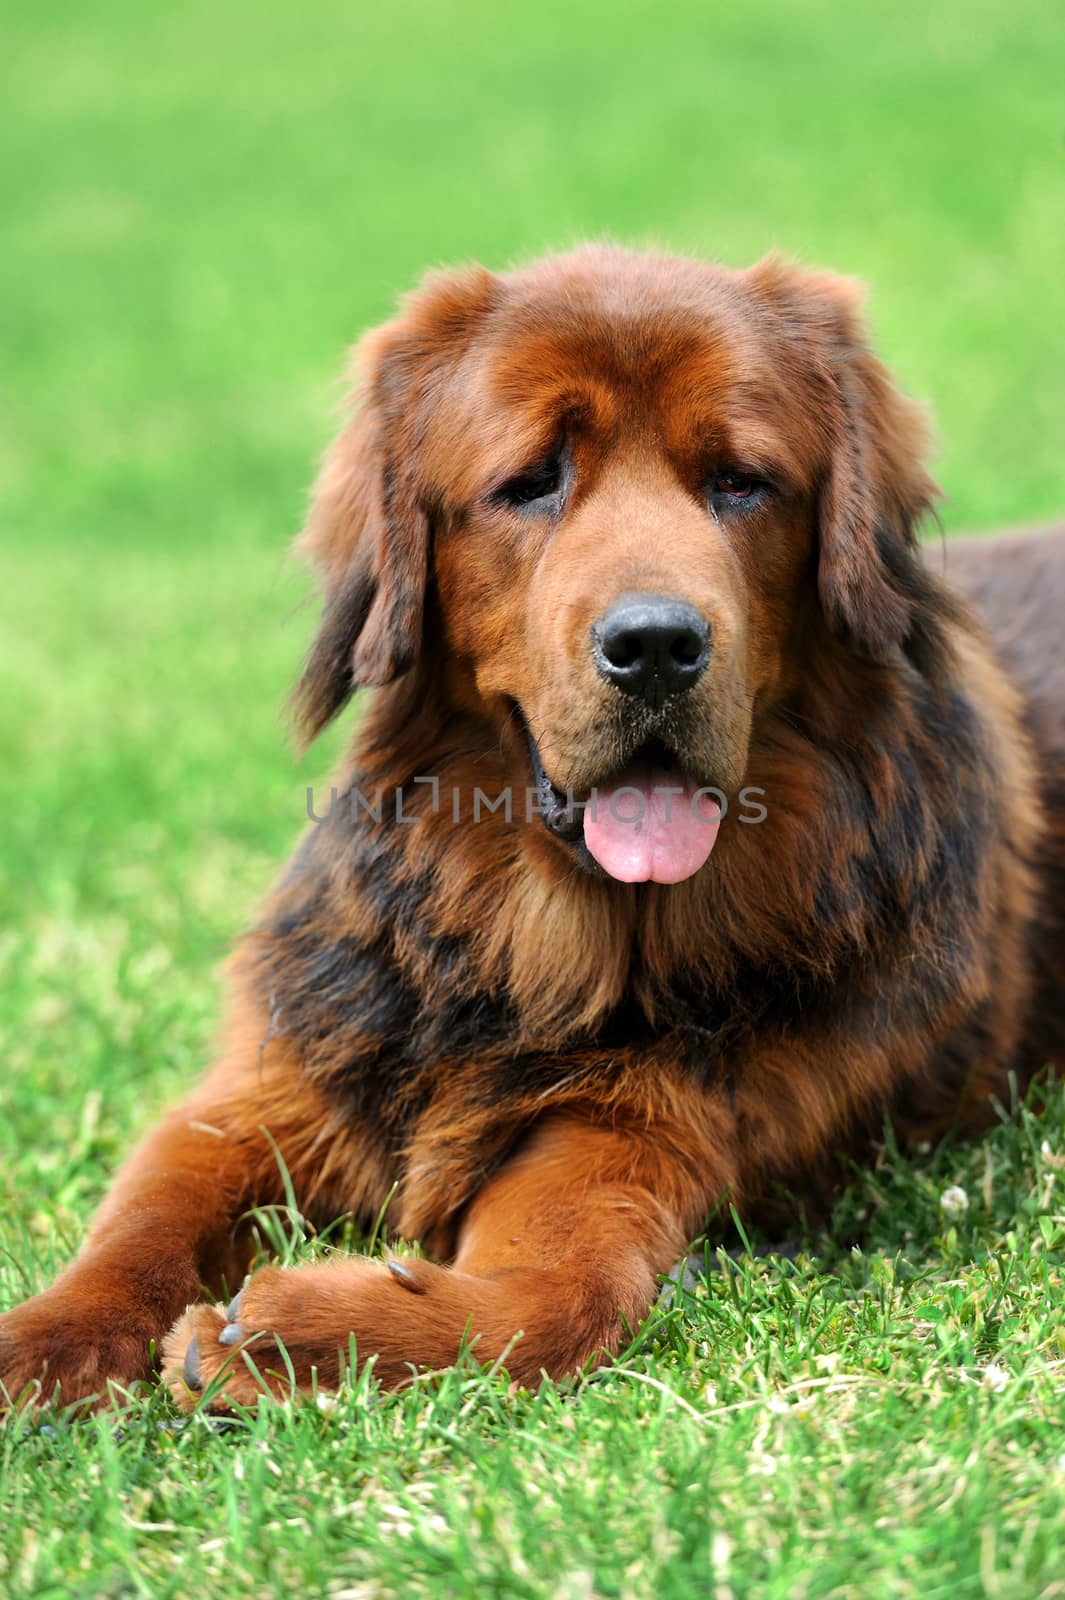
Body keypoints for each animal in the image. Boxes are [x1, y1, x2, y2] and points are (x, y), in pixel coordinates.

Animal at [2, 243, 1061, 1408]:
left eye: (741, 482)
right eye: (531, 483)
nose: (656, 646)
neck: (533, 939)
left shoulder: (640, 1137)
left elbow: (543, 1303)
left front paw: (289, 1330)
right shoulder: (276, 1085)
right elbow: (140, 1220)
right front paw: (44, 1345)